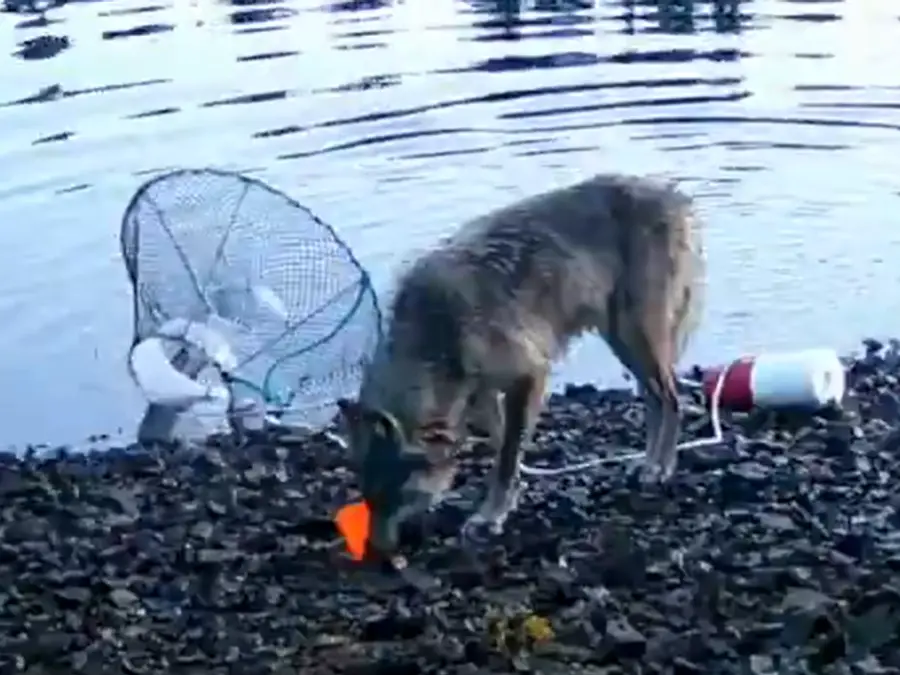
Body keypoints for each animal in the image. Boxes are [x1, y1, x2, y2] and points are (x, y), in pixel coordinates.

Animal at [337, 172, 706, 556]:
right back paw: (649, 462)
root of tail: (673, 194)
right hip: (622, 339)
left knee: (672, 398)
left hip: (636, 335)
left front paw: (491, 516)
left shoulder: (529, 377)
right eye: (368, 496)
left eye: (394, 497)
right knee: (654, 398)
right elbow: (504, 447)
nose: (374, 552)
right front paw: (512, 496)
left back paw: (660, 467)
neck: (437, 334)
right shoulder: (482, 394)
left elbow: (507, 456)